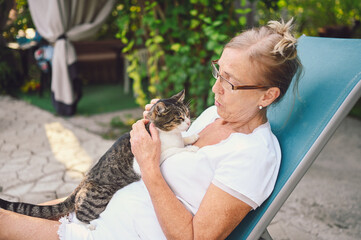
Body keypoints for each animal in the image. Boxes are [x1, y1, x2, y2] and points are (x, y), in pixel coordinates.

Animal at [0, 89, 197, 223]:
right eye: (179, 118)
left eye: (187, 114)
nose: (188, 122)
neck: (169, 134)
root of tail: (83, 181)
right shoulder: (150, 157)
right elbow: (174, 150)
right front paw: (190, 149)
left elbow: (182, 141)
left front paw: (192, 137)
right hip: (98, 197)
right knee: (80, 214)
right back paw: (90, 226)